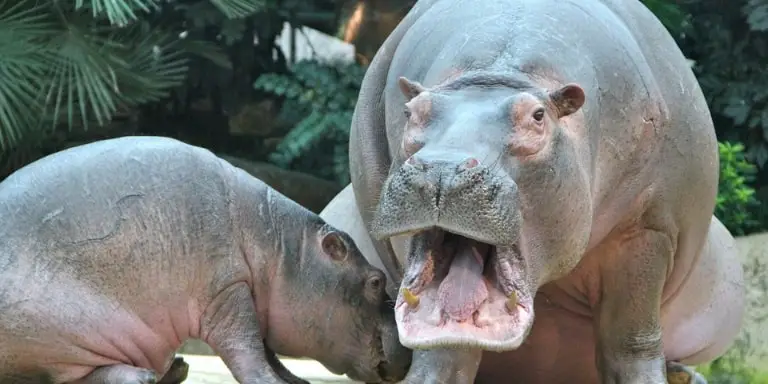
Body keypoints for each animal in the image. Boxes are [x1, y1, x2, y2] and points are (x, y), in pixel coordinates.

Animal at [0, 136, 412, 382]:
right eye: (376, 281)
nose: (408, 352)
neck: (282, 248)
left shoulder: (252, 299)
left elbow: (267, 351)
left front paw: (296, 380)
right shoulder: (227, 292)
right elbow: (248, 353)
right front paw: (272, 381)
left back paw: (176, 368)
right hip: (59, 326)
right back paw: (149, 375)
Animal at [320, 0, 748, 380]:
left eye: (538, 116)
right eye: (412, 112)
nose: (442, 169)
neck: (497, 72)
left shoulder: (650, 231)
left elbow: (630, 344)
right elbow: (447, 352)